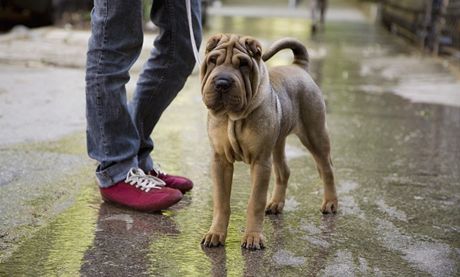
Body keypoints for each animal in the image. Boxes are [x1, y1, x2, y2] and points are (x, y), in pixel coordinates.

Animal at [199, 33, 336, 249]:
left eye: (243, 64)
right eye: (213, 60)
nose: (222, 82)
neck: (233, 118)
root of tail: (299, 67)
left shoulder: (261, 162)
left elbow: (255, 201)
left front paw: (253, 237)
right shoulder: (220, 161)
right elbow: (221, 201)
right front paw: (215, 233)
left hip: (315, 134)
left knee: (326, 168)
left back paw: (330, 203)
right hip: (278, 143)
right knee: (284, 171)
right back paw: (275, 203)